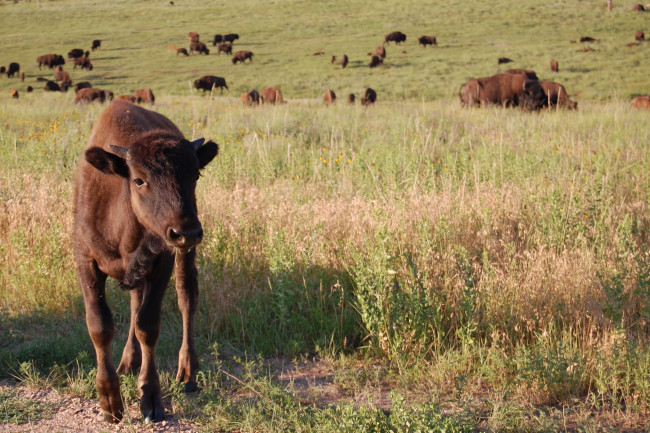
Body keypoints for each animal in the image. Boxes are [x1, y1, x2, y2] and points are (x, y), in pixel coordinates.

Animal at [72, 98, 216, 422]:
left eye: (195, 175)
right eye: (139, 179)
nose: (187, 231)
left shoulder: (162, 262)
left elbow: (147, 325)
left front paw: (151, 400)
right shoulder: (86, 261)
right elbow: (100, 325)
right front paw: (110, 403)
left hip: (184, 254)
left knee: (187, 296)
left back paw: (187, 372)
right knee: (135, 302)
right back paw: (129, 362)